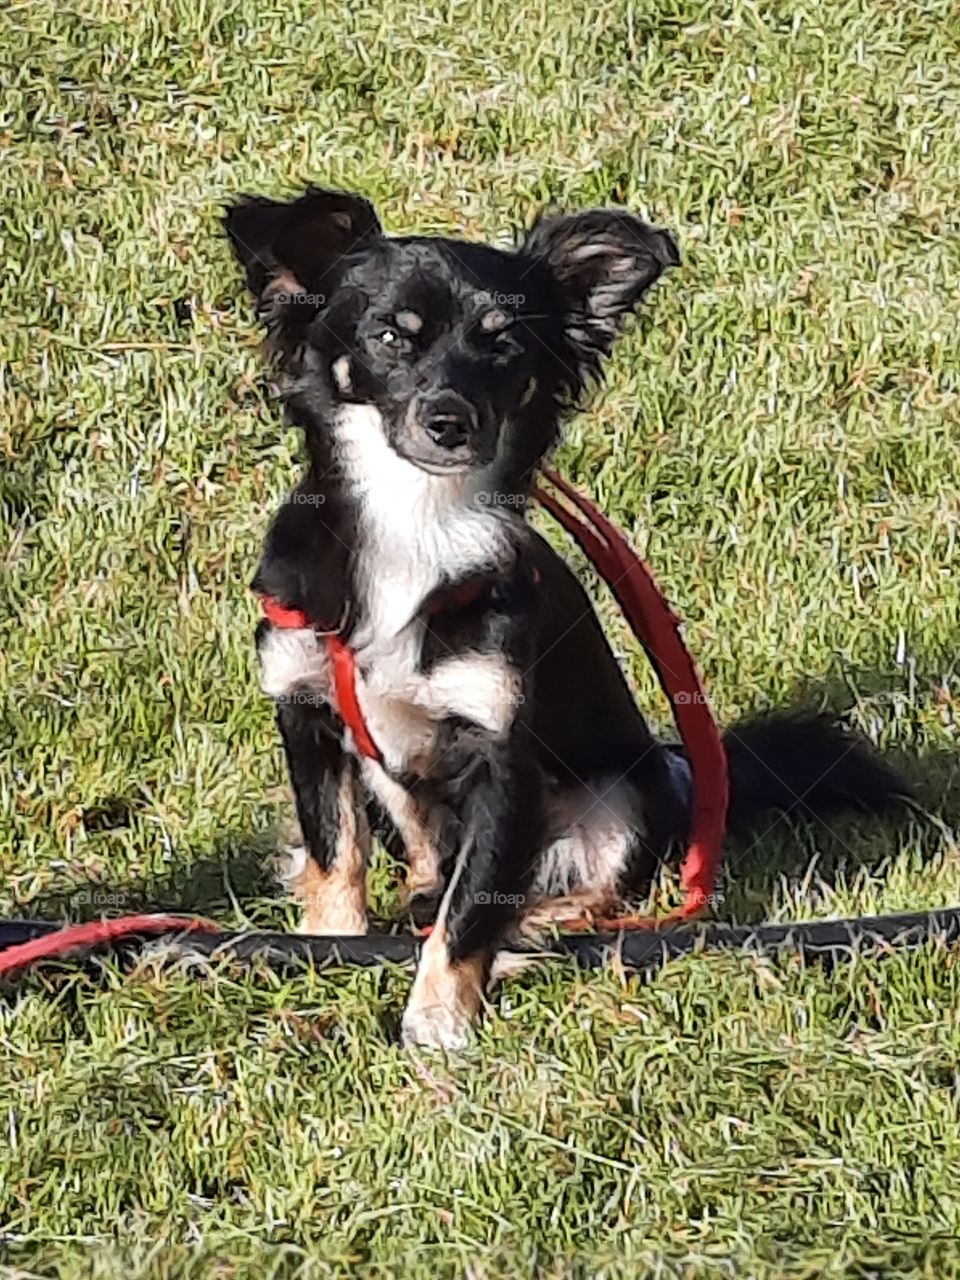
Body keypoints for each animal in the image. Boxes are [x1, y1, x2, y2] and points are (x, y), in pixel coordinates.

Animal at [225, 189, 911, 1049]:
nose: (451, 420)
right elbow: (334, 854)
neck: (416, 523)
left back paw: (542, 925)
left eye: (505, 346)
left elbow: (474, 906)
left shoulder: (501, 754)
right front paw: (327, 952)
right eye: (390, 335)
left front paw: (438, 1023)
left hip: (620, 794)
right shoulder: (307, 711)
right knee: (429, 862)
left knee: (586, 889)